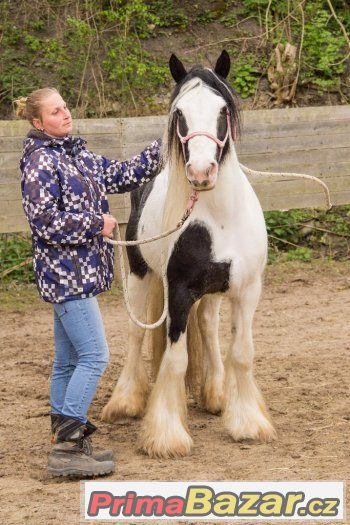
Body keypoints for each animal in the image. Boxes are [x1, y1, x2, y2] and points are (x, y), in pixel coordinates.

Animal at [102, 50, 278, 458]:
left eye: (222, 110)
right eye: (179, 112)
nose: (200, 172)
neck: (220, 217)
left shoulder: (247, 291)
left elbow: (241, 353)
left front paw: (247, 422)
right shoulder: (179, 291)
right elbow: (175, 358)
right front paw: (166, 435)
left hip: (212, 293)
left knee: (209, 328)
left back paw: (215, 394)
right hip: (140, 276)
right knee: (136, 334)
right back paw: (126, 402)